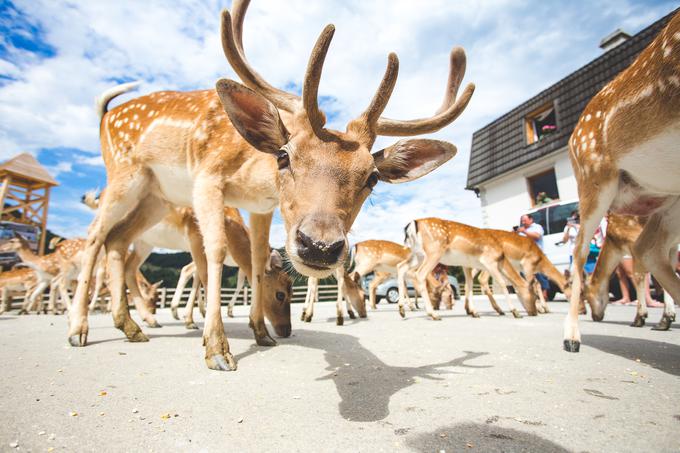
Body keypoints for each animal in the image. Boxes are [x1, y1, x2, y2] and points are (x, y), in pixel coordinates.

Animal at [70, 0, 472, 370]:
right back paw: (79, 329)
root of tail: (106, 115)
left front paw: (261, 334)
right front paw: (217, 349)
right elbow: (216, 253)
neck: (251, 177)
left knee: (116, 240)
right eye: (283, 155)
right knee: (93, 237)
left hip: (157, 198)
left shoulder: (260, 207)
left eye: (372, 177)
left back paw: (131, 327)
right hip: (123, 175)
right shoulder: (207, 178)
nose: (320, 246)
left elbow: (258, 259)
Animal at [398, 218, 536, 318]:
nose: (535, 312)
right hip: (433, 252)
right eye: (534, 295)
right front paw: (515, 312)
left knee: (401, 267)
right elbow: (502, 283)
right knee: (420, 274)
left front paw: (474, 312)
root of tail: (412, 224)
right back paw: (433, 314)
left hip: (418, 255)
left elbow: (468, 286)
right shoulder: (489, 261)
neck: (501, 257)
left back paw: (402, 310)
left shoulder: (466, 265)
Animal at [564, 9, 680, 350]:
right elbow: (643, 272)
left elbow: (645, 272)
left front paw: (655, 317)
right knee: (581, 254)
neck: (615, 240)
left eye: (590, 296)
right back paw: (572, 337)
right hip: (596, 184)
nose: (596, 314)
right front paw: (653, 317)